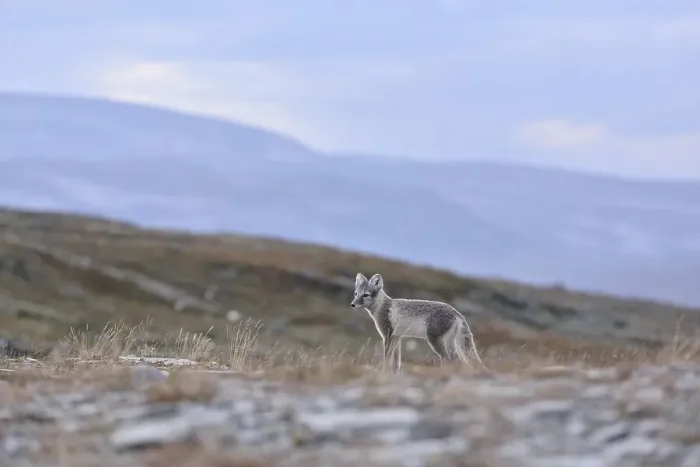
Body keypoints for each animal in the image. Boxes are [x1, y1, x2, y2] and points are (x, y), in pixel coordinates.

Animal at [350, 272, 486, 372]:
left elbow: (387, 358)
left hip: (435, 341)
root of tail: (457, 313)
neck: (383, 306)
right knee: (456, 360)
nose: (352, 305)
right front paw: (393, 373)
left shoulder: (388, 336)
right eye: (356, 294)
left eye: (366, 295)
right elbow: (396, 362)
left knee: (448, 359)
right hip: (450, 344)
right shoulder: (396, 337)